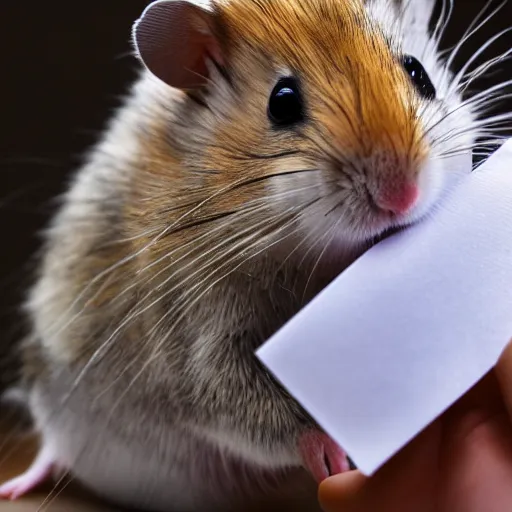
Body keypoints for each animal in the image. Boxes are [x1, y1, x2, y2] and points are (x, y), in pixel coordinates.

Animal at [0, 0, 504, 510]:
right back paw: (22, 481)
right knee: (52, 447)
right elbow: (247, 406)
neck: (315, 258)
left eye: (419, 73)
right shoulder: (198, 339)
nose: (402, 197)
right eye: (281, 103)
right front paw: (330, 451)